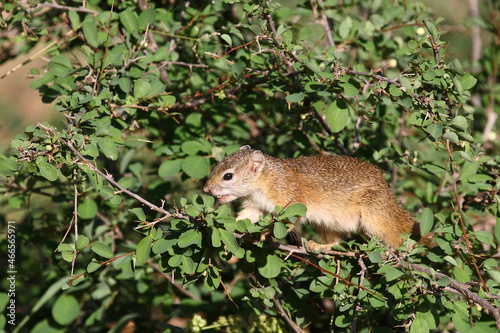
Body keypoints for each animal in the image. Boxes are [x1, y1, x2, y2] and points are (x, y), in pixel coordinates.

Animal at [203, 145, 414, 249]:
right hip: (326, 224)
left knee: (395, 237)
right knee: (336, 241)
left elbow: (288, 221)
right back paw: (320, 247)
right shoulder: (255, 206)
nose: (207, 189)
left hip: (374, 215)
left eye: (228, 176)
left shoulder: (290, 198)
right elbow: (246, 217)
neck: (265, 181)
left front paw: (266, 234)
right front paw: (225, 227)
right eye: (217, 165)